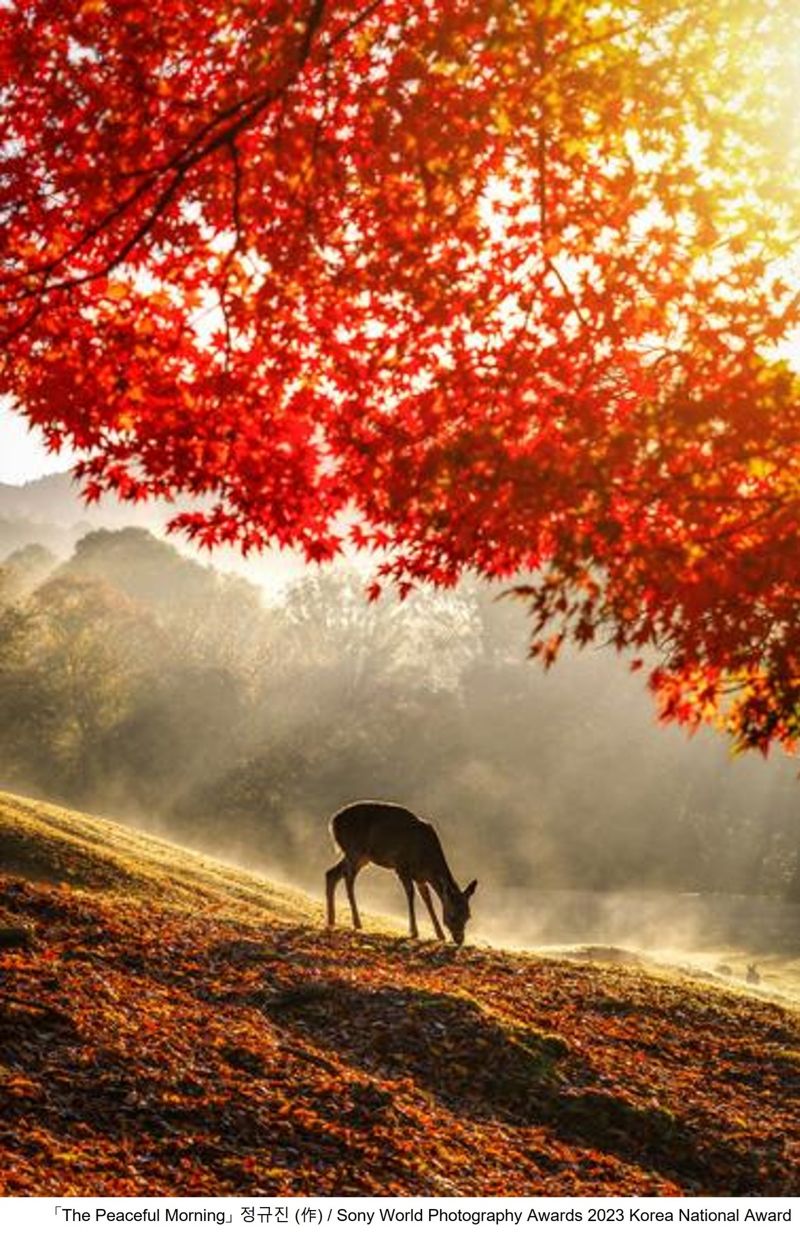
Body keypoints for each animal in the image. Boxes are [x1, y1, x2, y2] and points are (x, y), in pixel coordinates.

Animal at [323, 800, 479, 943]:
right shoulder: (402, 867)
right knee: (348, 878)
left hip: (360, 856)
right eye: (452, 916)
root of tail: (333, 822)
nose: (459, 939)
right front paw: (414, 932)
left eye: (468, 916)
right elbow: (411, 894)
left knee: (331, 873)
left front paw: (440, 935)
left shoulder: (420, 878)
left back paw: (331, 920)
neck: (427, 861)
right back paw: (357, 922)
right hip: (355, 850)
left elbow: (427, 899)